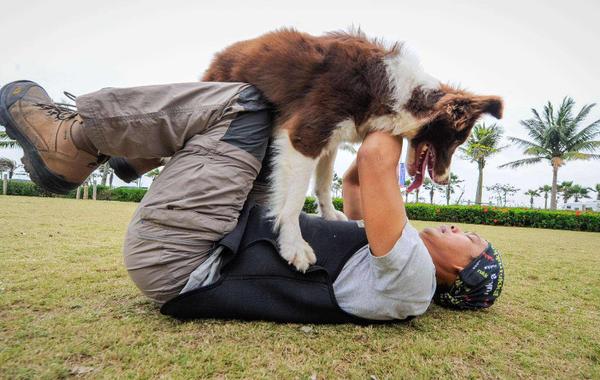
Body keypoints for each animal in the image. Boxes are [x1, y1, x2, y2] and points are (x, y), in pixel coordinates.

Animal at [204, 29, 504, 272]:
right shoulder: (305, 134)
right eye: (456, 141)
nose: (443, 180)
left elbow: (323, 185)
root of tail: (220, 56)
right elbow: (293, 201)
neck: (400, 93)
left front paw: (329, 217)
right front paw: (294, 244)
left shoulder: (331, 140)